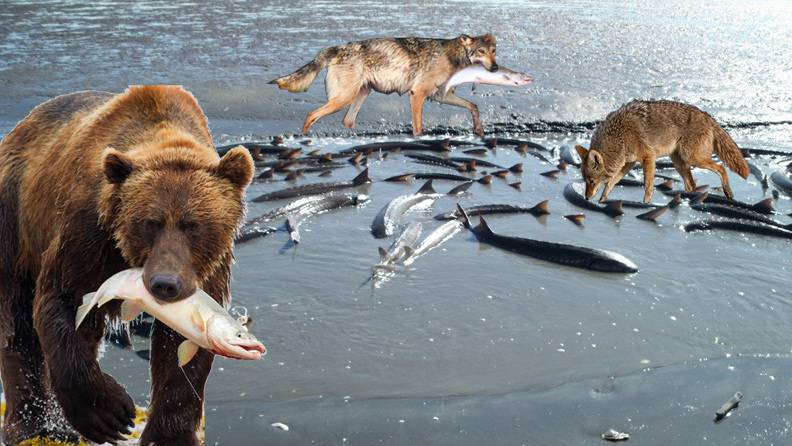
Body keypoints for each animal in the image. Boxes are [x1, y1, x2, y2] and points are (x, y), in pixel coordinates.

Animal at [0, 85, 254, 445]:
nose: (165, 283)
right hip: (15, 217)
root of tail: (20, 126)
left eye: (194, 225)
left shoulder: (208, 270)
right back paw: (35, 425)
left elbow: (179, 353)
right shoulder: (87, 232)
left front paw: (169, 435)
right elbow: (62, 299)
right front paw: (109, 413)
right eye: (150, 222)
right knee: (17, 318)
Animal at [270, 34, 498, 136]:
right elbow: (418, 127)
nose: (495, 68)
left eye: (494, 51)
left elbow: (473, 106)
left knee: (347, 121)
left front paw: (479, 129)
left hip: (360, 94)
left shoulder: (440, 95)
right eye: (481, 52)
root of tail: (335, 47)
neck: (454, 56)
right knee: (311, 115)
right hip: (343, 99)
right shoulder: (417, 94)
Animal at [576, 100, 749, 203]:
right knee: (691, 184)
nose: (586, 198)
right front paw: (602, 200)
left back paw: (728, 193)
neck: (619, 137)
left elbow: (648, 185)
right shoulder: (628, 163)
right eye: (586, 181)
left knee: (721, 168)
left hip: (691, 157)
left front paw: (646, 203)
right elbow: (611, 183)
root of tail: (708, 116)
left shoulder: (648, 157)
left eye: (591, 181)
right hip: (679, 162)